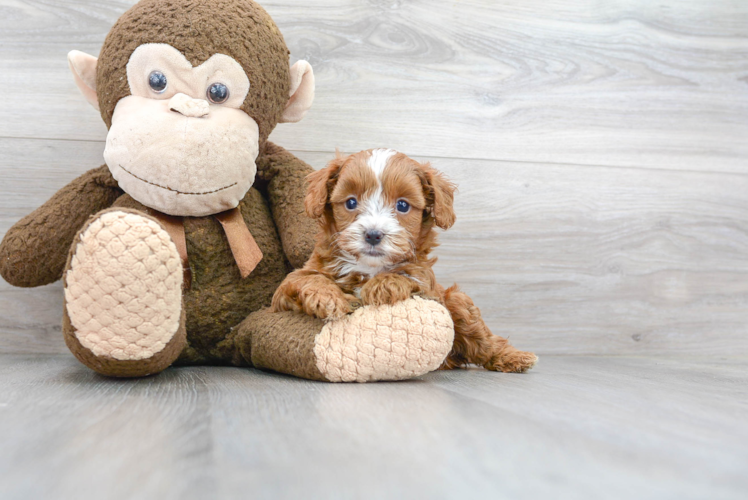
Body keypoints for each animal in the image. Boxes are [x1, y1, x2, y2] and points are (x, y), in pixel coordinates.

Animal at [272, 148, 536, 372]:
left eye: (402, 205)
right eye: (350, 202)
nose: (373, 234)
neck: (368, 267)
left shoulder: (429, 287)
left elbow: (410, 275)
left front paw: (384, 285)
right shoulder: (285, 293)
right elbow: (304, 279)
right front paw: (326, 298)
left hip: (457, 302)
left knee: (484, 342)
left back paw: (514, 357)